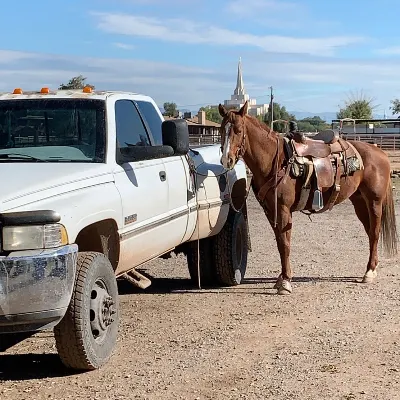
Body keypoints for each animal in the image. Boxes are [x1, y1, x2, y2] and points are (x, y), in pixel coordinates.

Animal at [219, 101, 396, 294]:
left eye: (238, 130)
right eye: (221, 130)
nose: (226, 160)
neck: (276, 161)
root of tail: (379, 152)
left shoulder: (283, 209)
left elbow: (284, 244)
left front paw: (286, 282)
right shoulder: (271, 211)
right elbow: (280, 242)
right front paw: (281, 278)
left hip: (374, 201)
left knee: (375, 232)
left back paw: (369, 272)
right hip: (359, 202)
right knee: (370, 232)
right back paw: (371, 269)